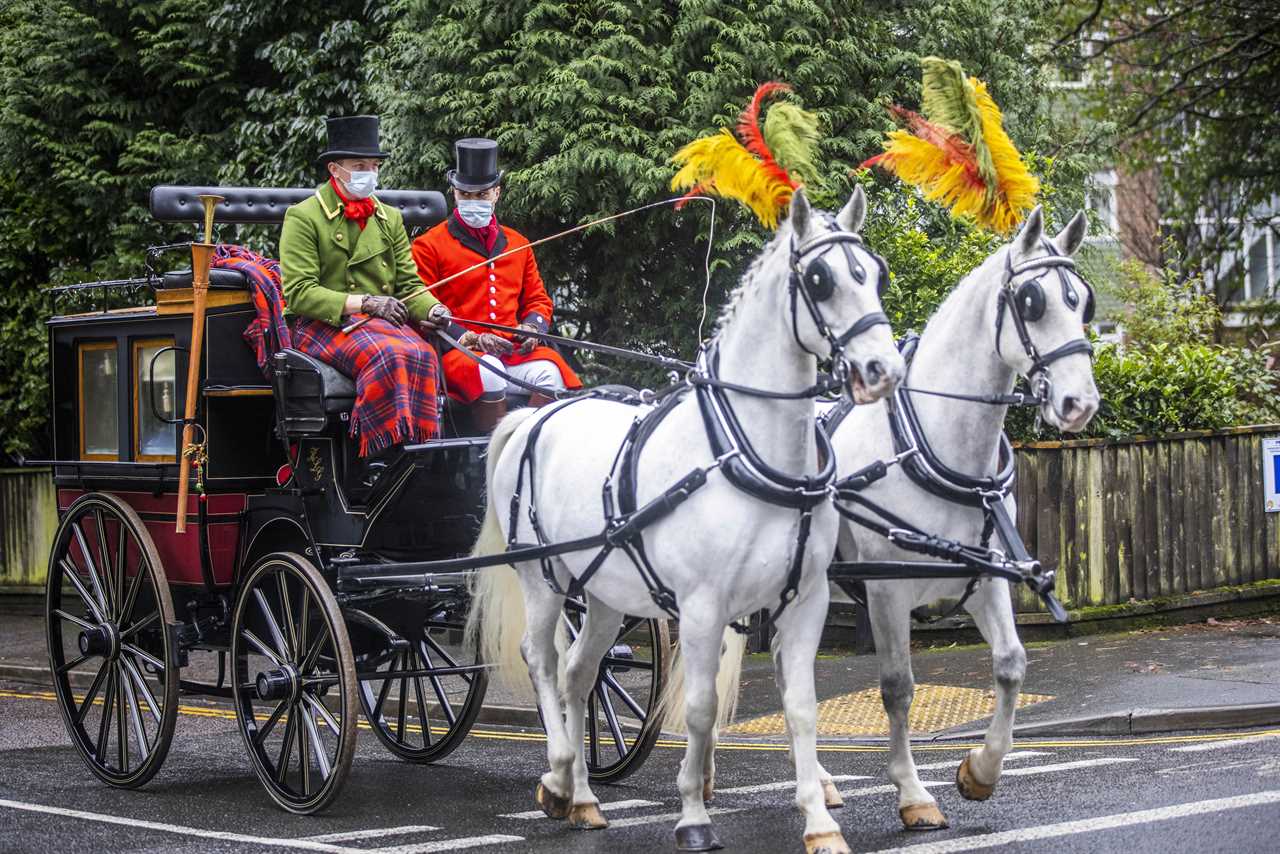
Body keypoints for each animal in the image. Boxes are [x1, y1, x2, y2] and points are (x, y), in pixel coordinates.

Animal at [465, 188, 906, 854]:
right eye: (821, 279)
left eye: (876, 274)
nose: (884, 369)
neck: (747, 452)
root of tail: (535, 417)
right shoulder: (702, 608)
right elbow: (699, 709)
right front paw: (694, 815)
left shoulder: (804, 600)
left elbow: (801, 706)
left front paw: (819, 822)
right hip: (542, 579)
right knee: (543, 660)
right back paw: (560, 774)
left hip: (604, 593)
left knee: (579, 673)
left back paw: (584, 796)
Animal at [819, 204, 1100, 829]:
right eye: (1032, 302)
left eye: (1083, 303)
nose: (1080, 403)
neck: (933, 446)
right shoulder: (886, 593)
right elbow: (898, 689)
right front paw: (913, 794)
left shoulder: (986, 578)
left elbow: (1011, 664)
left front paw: (980, 771)